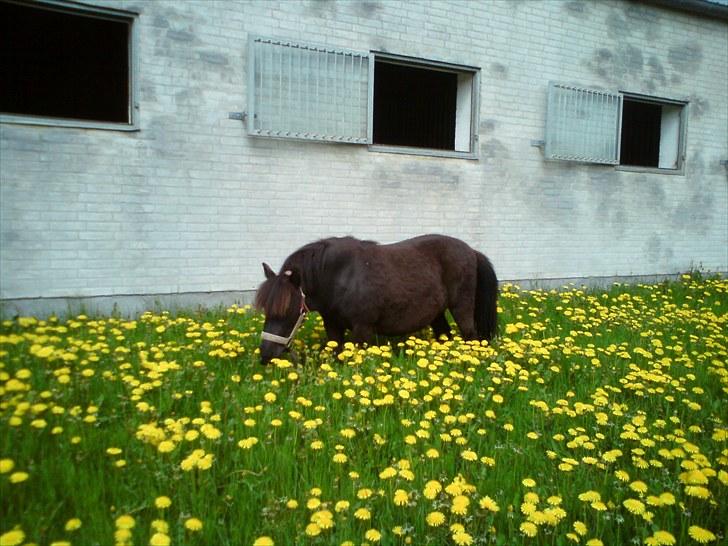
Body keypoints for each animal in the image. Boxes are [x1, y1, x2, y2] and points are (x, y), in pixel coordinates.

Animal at [253, 233, 498, 364]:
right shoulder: (333, 326)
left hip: (461, 308)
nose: (265, 355)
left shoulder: (363, 329)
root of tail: (471, 251)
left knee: (470, 336)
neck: (342, 275)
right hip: (436, 313)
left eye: (289, 311)